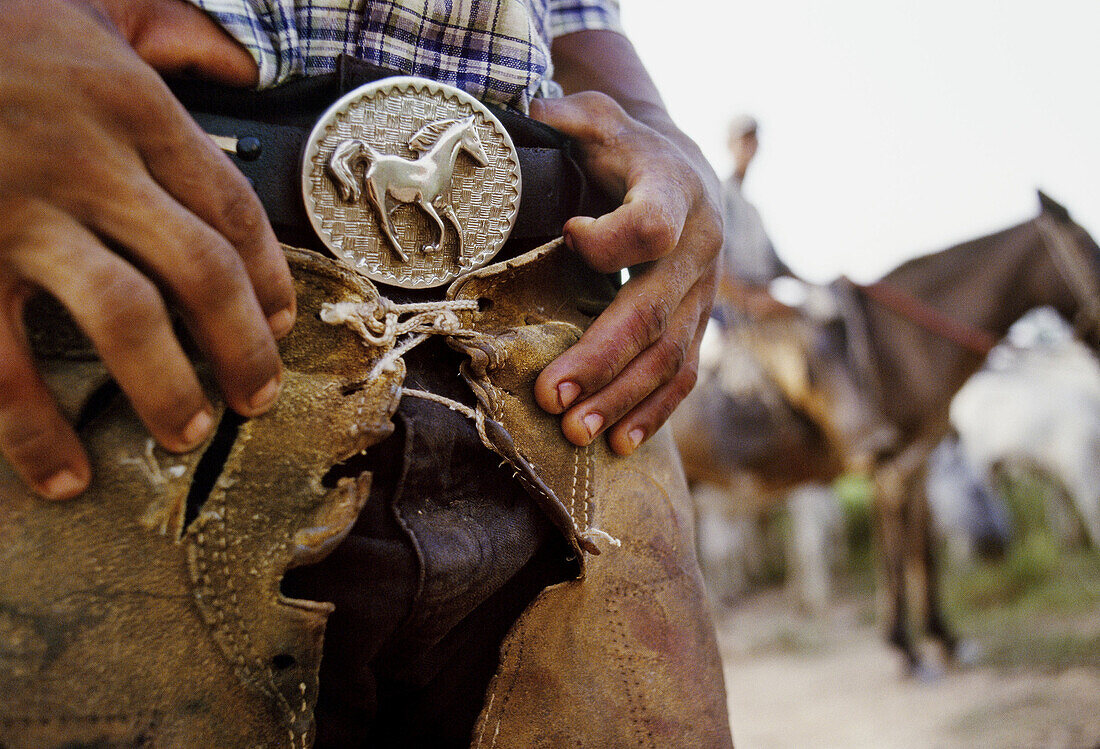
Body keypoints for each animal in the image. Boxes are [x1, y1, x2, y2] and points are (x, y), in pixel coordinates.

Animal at [673, 192, 1095, 673]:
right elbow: (895, 552)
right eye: (1090, 247)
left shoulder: (917, 461)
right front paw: (905, 647)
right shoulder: (893, 465)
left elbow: (921, 551)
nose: (995, 546)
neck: (910, 347)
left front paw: (944, 638)